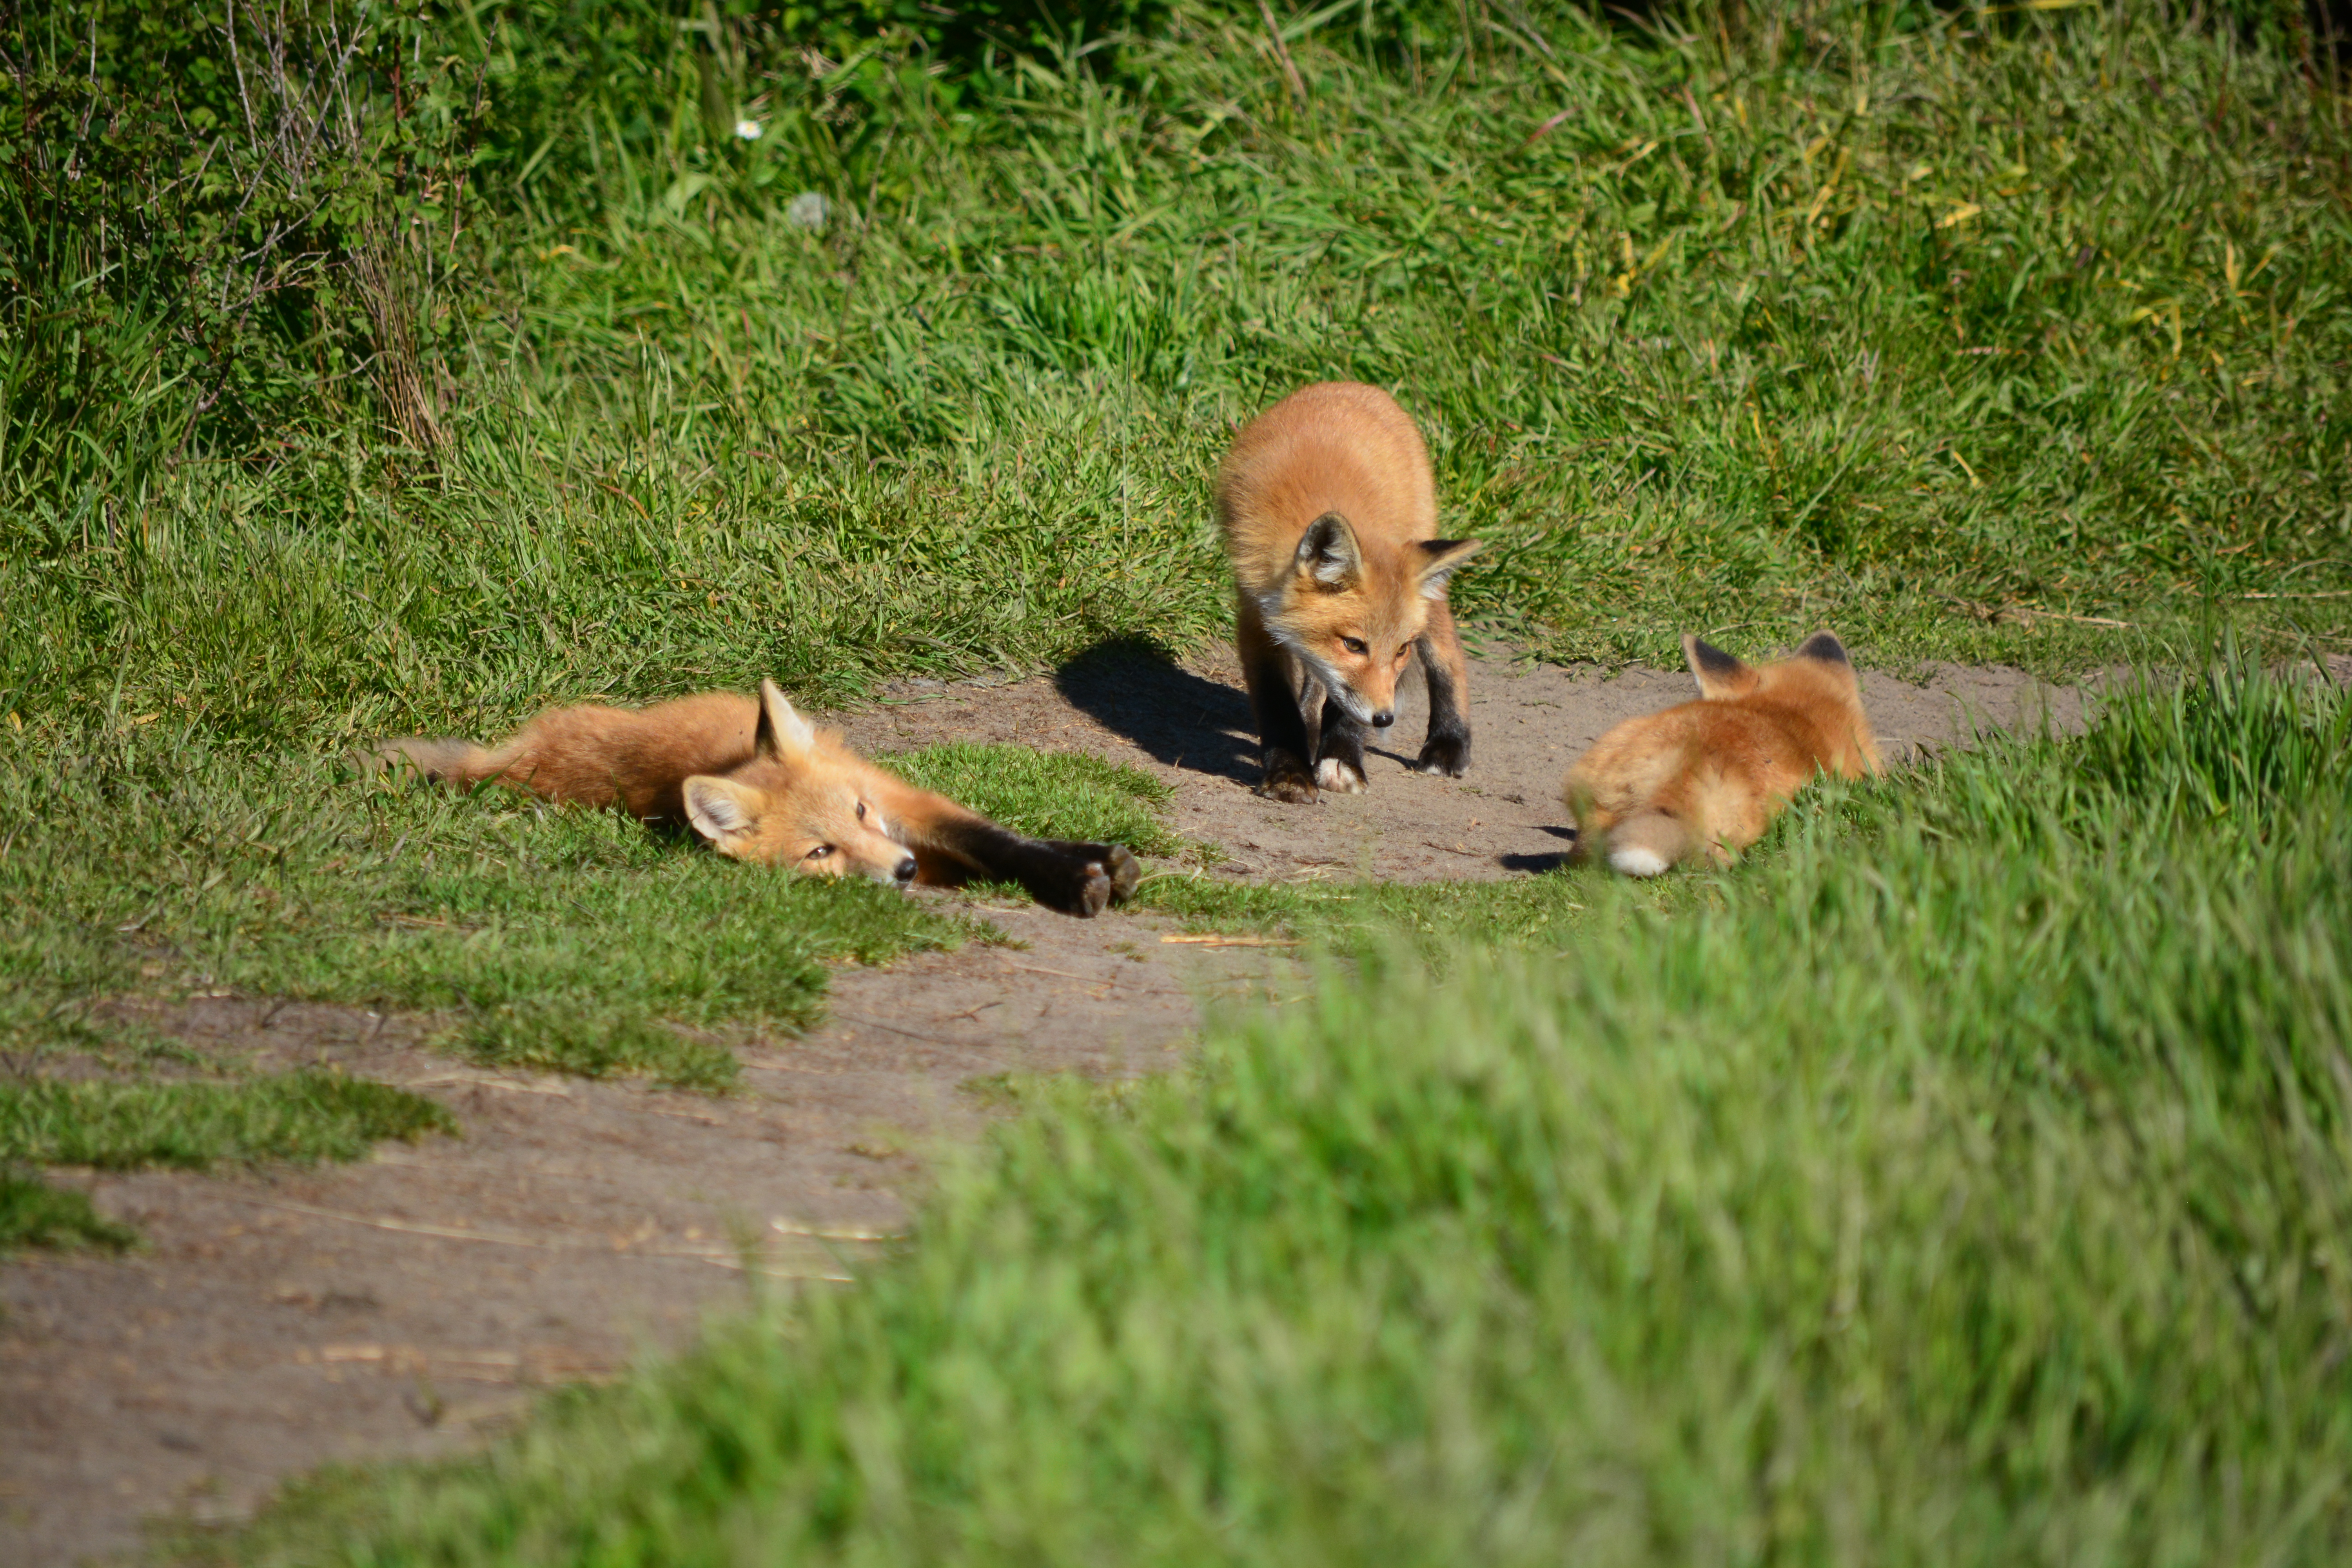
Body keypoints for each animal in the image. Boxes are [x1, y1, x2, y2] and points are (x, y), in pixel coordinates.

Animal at [372, 677, 1143, 921]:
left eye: (858, 812)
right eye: (821, 852)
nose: (900, 872)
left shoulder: (904, 807)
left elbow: (1004, 842)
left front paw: (1093, 865)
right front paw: (1082, 880)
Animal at [1223, 376, 1477, 804]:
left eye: (1401, 650)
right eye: (1354, 645)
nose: (1385, 718)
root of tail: (1357, 386)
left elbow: (1347, 709)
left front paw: (1342, 758)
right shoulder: (1255, 614)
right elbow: (1277, 705)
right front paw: (1291, 772)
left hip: (1422, 558)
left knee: (1447, 651)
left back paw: (1449, 742)